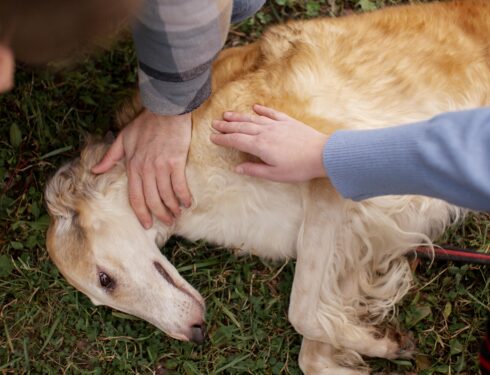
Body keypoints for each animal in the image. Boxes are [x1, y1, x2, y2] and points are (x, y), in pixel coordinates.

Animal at [44, 1, 488, 374]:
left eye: (105, 280)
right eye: (101, 294)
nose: (195, 334)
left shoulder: (331, 165)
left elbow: (301, 311)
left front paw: (377, 342)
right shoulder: (355, 238)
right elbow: (313, 352)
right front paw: (374, 342)